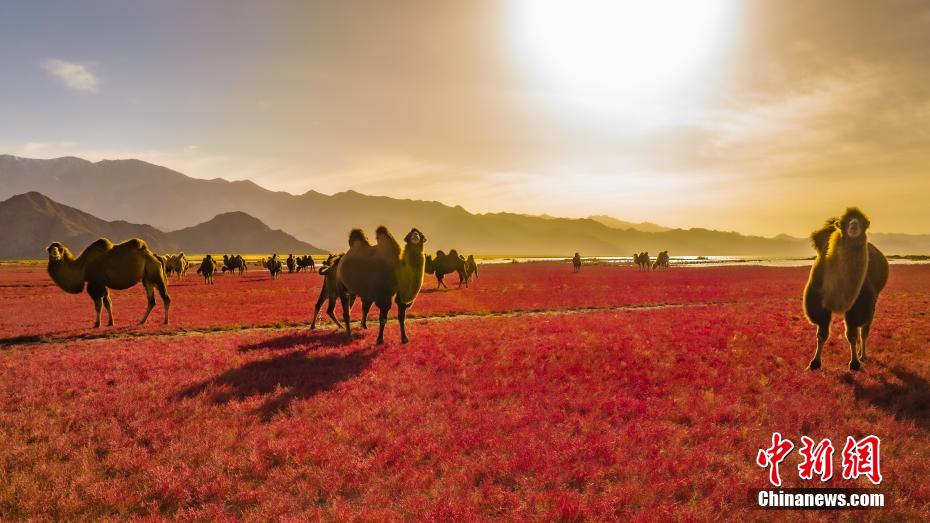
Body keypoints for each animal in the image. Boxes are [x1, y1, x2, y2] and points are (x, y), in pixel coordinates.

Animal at [800, 209, 888, 372]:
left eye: (864, 221)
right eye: (843, 222)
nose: (854, 224)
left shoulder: (858, 306)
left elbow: (852, 335)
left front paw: (854, 363)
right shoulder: (819, 305)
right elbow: (822, 335)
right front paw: (814, 362)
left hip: (873, 302)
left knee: (864, 330)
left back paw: (862, 355)